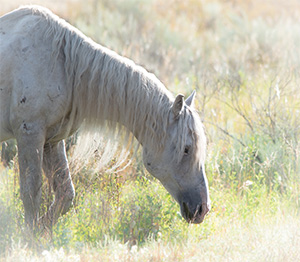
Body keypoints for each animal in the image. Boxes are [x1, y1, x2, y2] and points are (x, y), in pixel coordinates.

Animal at [0, 5, 211, 228]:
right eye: (186, 149)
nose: (203, 208)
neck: (62, 65)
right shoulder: (29, 134)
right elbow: (31, 195)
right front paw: (28, 235)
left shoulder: (51, 140)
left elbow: (65, 195)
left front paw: (42, 231)